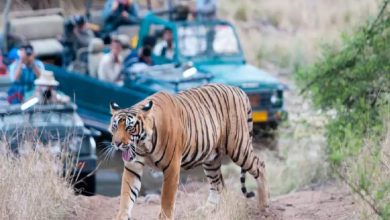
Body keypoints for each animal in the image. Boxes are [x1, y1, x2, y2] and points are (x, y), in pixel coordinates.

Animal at [109, 84, 268, 220]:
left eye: (130, 128)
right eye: (115, 127)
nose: (117, 144)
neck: (143, 145)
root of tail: (238, 89)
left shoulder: (172, 167)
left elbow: (167, 200)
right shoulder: (133, 167)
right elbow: (126, 195)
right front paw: (122, 216)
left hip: (238, 147)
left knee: (260, 166)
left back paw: (263, 205)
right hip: (211, 159)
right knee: (218, 184)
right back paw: (207, 210)